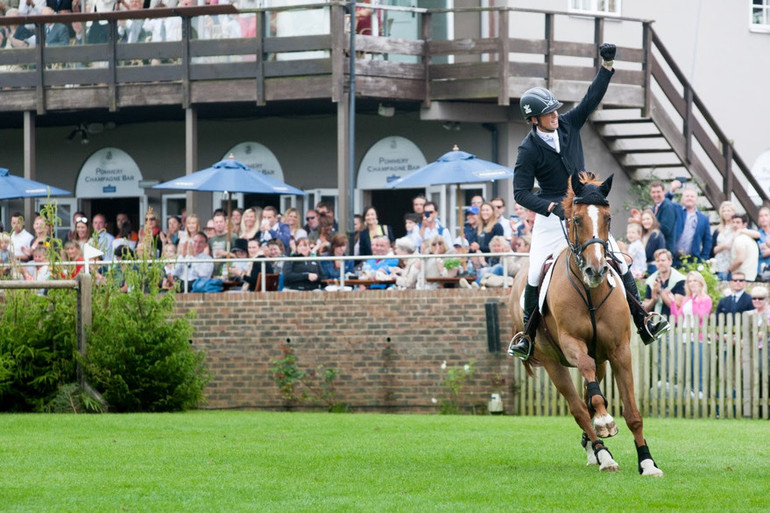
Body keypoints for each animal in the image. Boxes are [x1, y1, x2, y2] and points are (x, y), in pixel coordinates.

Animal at [508, 171, 664, 476]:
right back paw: (603, 454)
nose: (596, 270)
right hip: (552, 362)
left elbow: (632, 412)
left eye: (608, 218)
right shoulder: (572, 345)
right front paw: (604, 423)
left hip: (601, 358)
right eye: (577, 219)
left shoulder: (619, 351)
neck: (591, 292)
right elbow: (590, 394)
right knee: (579, 407)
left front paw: (647, 462)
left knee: (588, 393)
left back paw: (594, 447)